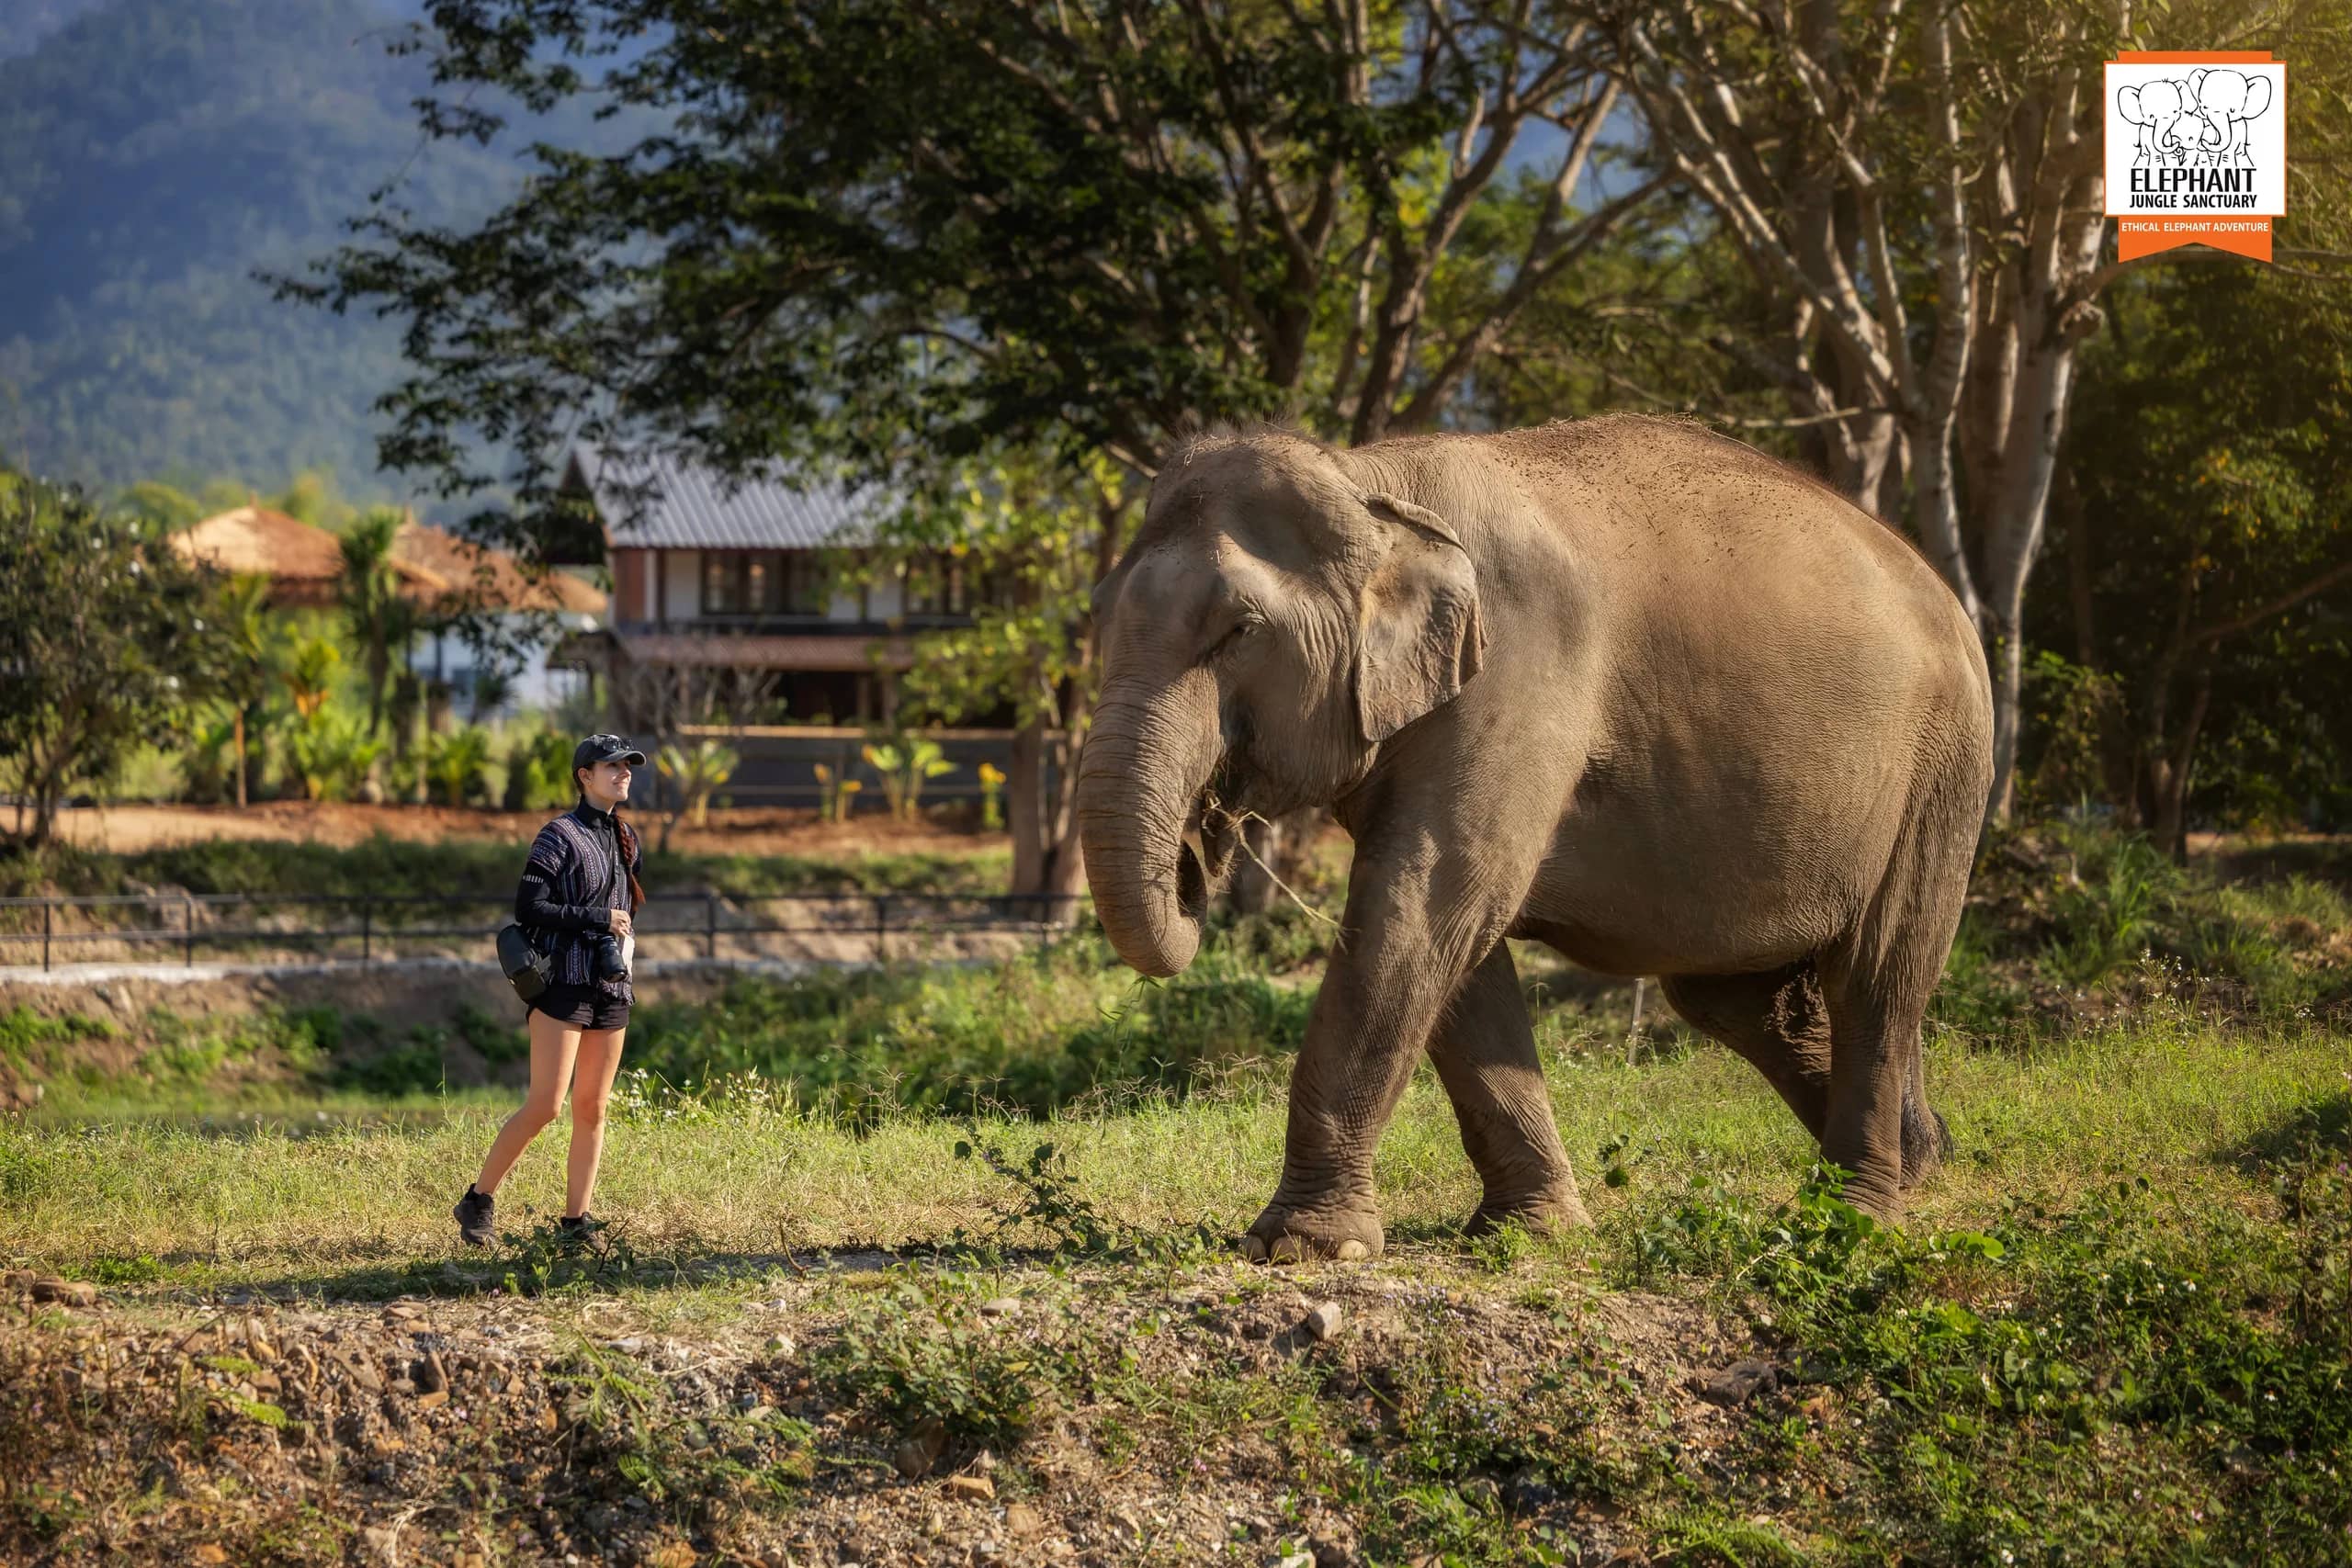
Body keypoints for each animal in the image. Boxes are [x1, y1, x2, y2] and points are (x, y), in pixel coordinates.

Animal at [1075, 414, 1993, 1260]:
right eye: (1102, 624)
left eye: (1238, 630)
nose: (1202, 845)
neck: (1370, 481)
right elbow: (1454, 944)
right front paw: (1531, 1231)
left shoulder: (1518, 672)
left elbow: (1424, 905)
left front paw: (1300, 1245)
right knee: (1738, 1000)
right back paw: (1926, 1156)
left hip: (1941, 770)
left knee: (1877, 974)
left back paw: (1853, 1215)